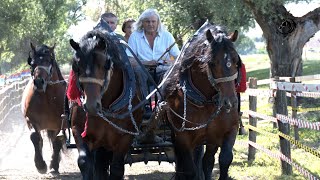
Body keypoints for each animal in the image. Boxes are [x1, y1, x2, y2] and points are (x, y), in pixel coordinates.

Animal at [20, 43, 67, 174]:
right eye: (33, 63)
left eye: (48, 61)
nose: (38, 82)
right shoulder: (30, 120)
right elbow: (35, 137)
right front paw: (40, 165)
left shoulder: (60, 123)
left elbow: (58, 141)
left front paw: (53, 164)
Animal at [69, 28, 144, 179]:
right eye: (76, 66)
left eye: (106, 64)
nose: (91, 105)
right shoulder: (78, 130)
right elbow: (85, 162)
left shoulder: (126, 136)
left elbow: (117, 169)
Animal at [161, 21, 241, 180]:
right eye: (212, 62)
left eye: (236, 61)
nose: (230, 103)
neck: (206, 101)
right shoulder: (183, 139)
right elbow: (190, 170)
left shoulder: (229, 130)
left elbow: (224, 159)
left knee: (207, 161)